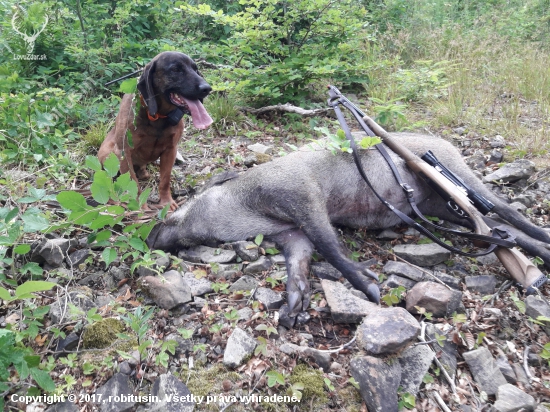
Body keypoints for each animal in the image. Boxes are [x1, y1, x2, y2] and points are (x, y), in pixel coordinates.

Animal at [98, 51, 213, 210]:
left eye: (196, 69)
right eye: (175, 69)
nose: (207, 88)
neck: (156, 115)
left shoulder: (171, 150)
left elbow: (164, 180)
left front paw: (166, 202)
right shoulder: (124, 152)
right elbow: (132, 183)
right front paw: (140, 206)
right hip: (109, 153)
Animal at [146, 133, 550, 321]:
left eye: (191, 198)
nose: (150, 236)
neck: (254, 211)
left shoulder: (304, 197)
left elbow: (329, 245)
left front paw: (373, 291)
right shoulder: (289, 233)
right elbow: (301, 259)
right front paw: (291, 311)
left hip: (457, 173)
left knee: (505, 213)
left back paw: (540, 256)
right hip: (439, 208)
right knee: (495, 229)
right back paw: (536, 269)